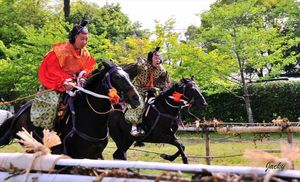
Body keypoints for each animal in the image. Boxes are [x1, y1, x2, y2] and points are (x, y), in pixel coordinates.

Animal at [0, 61, 141, 159]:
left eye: (128, 76)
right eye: (116, 77)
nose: (136, 98)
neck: (89, 117)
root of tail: (18, 113)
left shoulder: (95, 154)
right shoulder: (73, 154)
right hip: (31, 146)